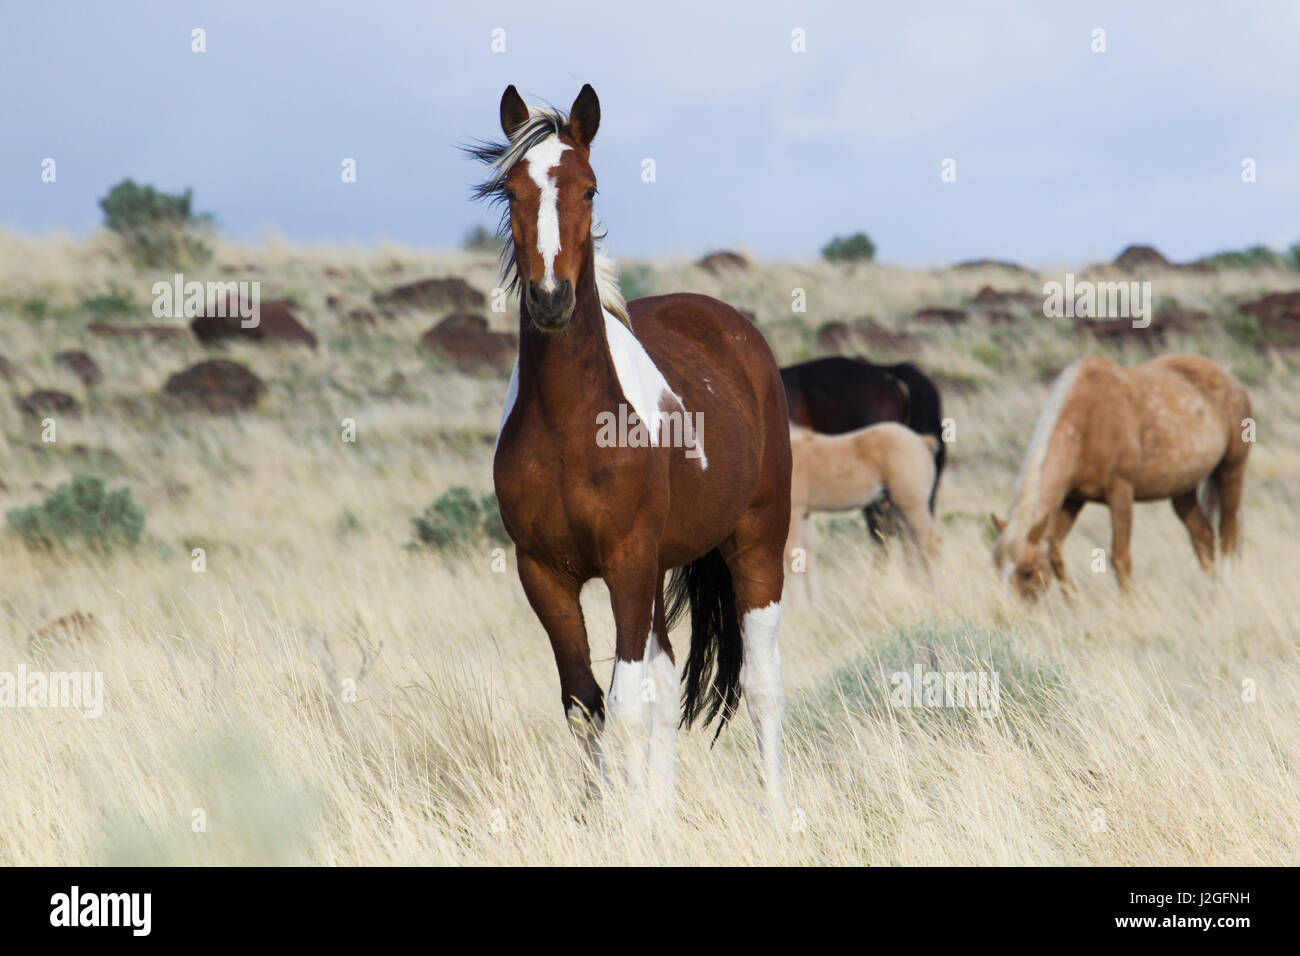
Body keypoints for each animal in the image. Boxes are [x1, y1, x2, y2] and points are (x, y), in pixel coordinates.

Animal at [470, 85, 790, 811]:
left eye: (589, 189)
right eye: (511, 190)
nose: (552, 300)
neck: (574, 428)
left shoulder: (627, 562)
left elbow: (623, 705)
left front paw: (627, 819)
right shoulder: (546, 574)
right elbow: (585, 704)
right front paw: (609, 815)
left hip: (757, 546)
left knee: (761, 685)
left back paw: (778, 815)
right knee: (667, 687)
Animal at [785, 424, 941, 598]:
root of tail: (922, 441)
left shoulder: (794, 512)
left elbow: (793, 558)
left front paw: (800, 604)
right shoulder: (804, 514)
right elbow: (807, 557)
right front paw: (816, 603)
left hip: (913, 506)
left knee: (931, 544)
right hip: (903, 510)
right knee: (914, 547)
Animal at [987, 356, 1253, 600]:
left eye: (1028, 572)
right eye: (998, 570)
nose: (1012, 614)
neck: (1088, 419)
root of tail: (1229, 377)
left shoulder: (1121, 493)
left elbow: (1120, 558)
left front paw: (1128, 608)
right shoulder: (1073, 500)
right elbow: (1054, 552)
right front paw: (1077, 607)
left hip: (1232, 470)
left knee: (1227, 533)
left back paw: (1227, 590)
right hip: (1182, 489)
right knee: (1203, 537)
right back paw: (1212, 594)